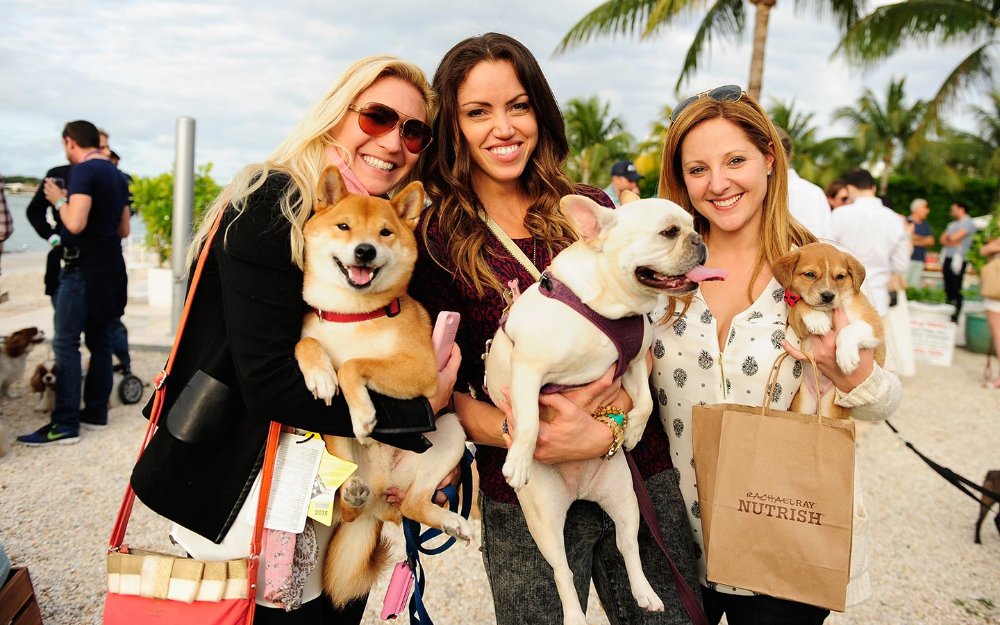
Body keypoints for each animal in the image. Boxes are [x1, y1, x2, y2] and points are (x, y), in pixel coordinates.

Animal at [294, 168, 470, 608]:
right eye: (344, 226)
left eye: (385, 232)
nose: (364, 250)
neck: (354, 316)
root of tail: (378, 498)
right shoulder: (310, 331)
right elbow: (308, 345)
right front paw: (321, 374)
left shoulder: (420, 369)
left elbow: (355, 364)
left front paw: (362, 410)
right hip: (337, 446)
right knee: (348, 508)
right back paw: (351, 494)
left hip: (450, 433)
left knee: (415, 505)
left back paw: (449, 520)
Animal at [482, 191, 724, 624]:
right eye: (669, 232)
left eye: (692, 225)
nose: (699, 240)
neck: (609, 306)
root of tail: (581, 493)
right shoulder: (529, 367)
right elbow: (528, 422)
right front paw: (519, 460)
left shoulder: (632, 362)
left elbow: (644, 402)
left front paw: (632, 432)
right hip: (544, 522)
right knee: (562, 571)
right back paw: (576, 616)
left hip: (626, 499)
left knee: (629, 547)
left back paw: (646, 593)